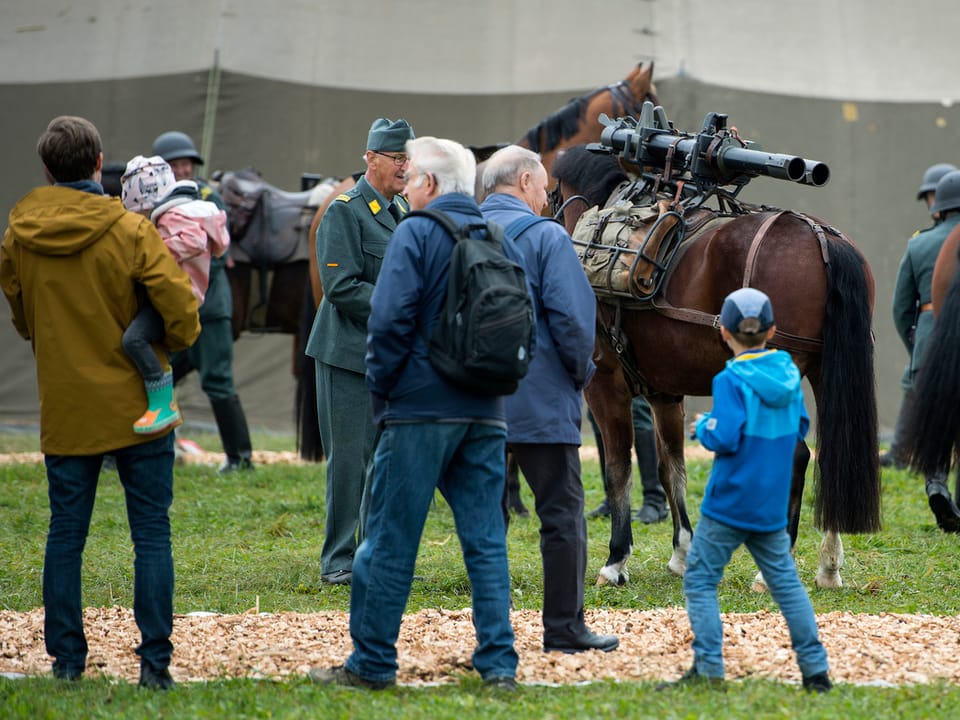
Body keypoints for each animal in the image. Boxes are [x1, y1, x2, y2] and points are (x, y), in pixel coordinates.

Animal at [552, 146, 880, 592]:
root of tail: (819, 234)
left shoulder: (605, 387)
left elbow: (618, 467)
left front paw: (615, 560)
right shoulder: (664, 393)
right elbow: (670, 464)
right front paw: (682, 552)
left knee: (797, 453)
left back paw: (771, 571)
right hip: (826, 372)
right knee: (833, 454)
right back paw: (828, 566)